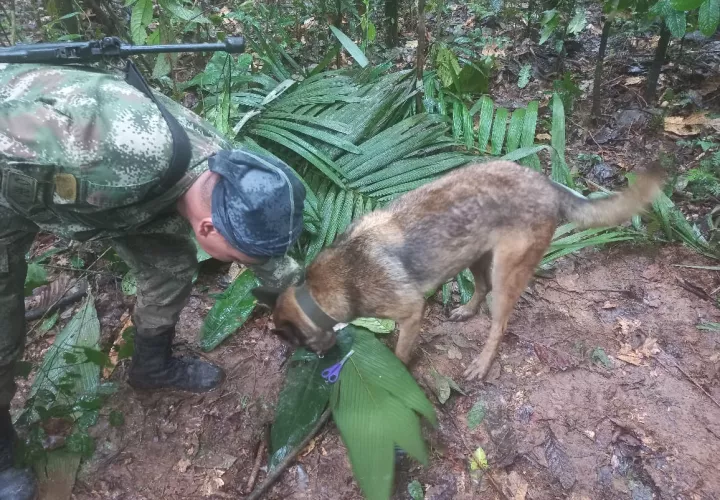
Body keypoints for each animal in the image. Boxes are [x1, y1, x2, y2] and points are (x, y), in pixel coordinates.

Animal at [255, 162, 664, 380]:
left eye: (297, 344)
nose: (318, 362)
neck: (322, 289)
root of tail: (546, 183)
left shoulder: (411, 312)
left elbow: (400, 352)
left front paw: (397, 372)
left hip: (506, 273)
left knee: (499, 323)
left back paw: (482, 363)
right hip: (475, 255)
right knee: (479, 289)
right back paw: (467, 311)